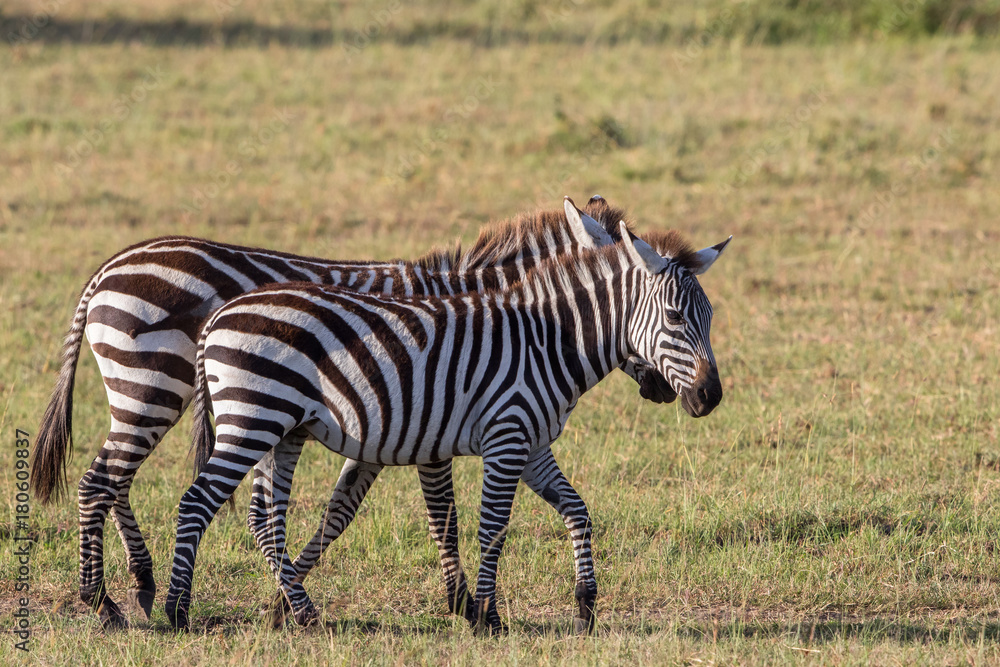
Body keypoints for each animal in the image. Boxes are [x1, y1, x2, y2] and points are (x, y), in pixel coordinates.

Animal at [31, 195, 675, 629]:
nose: (663, 393)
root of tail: (107, 270)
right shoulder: (427, 417)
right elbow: (443, 515)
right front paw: (465, 604)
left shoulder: (392, 422)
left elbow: (337, 512)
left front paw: (287, 598)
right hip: (154, 384)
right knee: (102, 481)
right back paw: (104, 601)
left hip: (149, 393)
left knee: (115, 481)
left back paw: (139, 586)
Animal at [166, 223, 730, 634]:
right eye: (676, 317)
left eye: (709, 316)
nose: (710, 398)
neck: (547, 341)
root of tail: (217, 316)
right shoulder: (506, 437)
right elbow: (490, 526)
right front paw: (487, 617)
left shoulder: (531, 444)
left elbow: (577, 510)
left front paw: (586, 605)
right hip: (252, 419)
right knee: (197, 502)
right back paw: (176, 612)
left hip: (279, 429)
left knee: (265, 519)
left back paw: (300, 610)